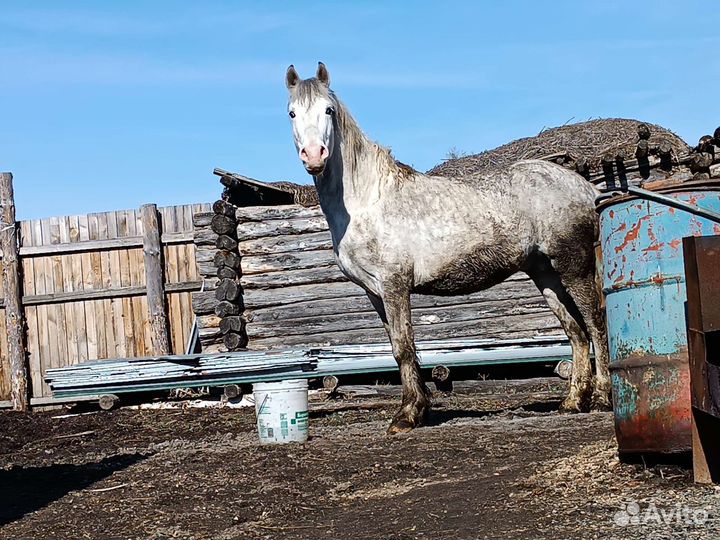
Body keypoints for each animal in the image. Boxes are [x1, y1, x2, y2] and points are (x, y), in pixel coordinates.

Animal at [284, 62, 610, 434]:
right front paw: (418, 408)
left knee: (595, 325)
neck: (367, 200)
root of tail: (585, 187)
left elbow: (404, 347)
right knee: (576, 332)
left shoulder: (395, 286)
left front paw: (407, 415)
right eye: (292, 112)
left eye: (329, 110)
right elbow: (397, 346)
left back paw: (601, 399)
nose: (314, 155)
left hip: (573, 266)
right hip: (544, 273)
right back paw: (572, 403)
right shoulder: (375, 292)